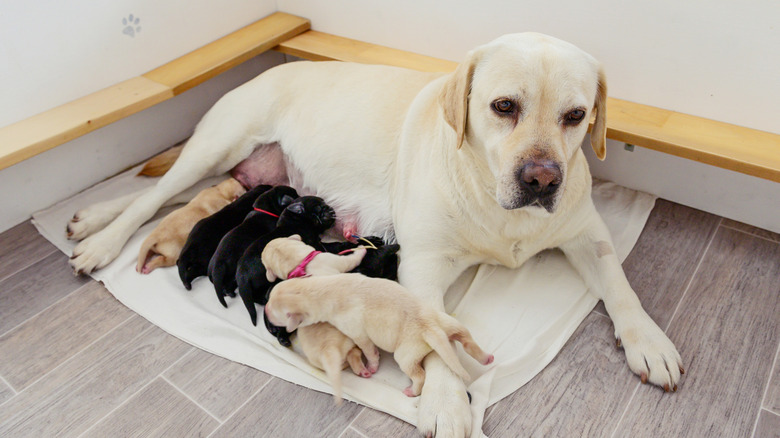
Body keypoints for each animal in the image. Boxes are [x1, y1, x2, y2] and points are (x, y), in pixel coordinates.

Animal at [236, 195, 336, 332]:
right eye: (318, 209)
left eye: (324, 203)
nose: (330, 209)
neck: (297, 220)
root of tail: (242, 276)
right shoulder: (314, 243)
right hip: (264, 280)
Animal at [266, 274, 490, 396]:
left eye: (274, 312)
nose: (265, 310)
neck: (318, 291)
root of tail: (430, 327)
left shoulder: (358, 333)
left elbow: (369, 351)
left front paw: (372, 367)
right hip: (445, 321)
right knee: (465, 337)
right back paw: (486, 358)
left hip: (405, 354)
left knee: (419, 375)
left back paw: (412, 391)